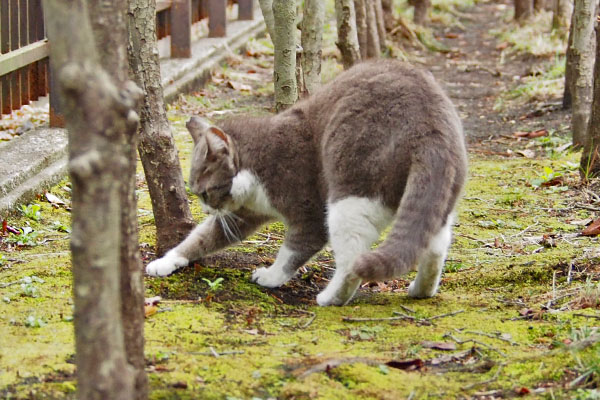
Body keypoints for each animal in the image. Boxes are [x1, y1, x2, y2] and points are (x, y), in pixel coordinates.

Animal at [146, 59, 468, 306]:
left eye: (204, 193)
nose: (206, 210)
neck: (261, 161)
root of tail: (431, 124)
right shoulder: (243, 213)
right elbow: (202, 238)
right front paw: (165, 262)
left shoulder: (307, 211)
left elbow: (292, 250)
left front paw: (270, 276)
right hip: (434, 198)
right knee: (434, 243)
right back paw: (421, 290)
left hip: (350, 193)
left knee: (352, 257)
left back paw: (331, 297)